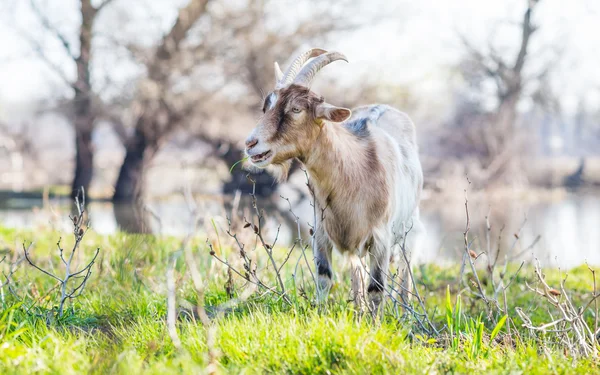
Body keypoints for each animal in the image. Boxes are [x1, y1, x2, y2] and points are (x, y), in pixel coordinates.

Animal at [243, 47, 422, 312]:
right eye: (267, 107)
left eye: (296, 109)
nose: (251, 143)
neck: (355, 169)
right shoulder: (321, 232)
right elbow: (324, 278)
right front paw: (321, 314)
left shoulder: (381, 237)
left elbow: (376, 288)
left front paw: (376, 322)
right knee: (357, 271)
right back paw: (359, 310)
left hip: (409, 227)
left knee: (404, 268)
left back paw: (404, 311)